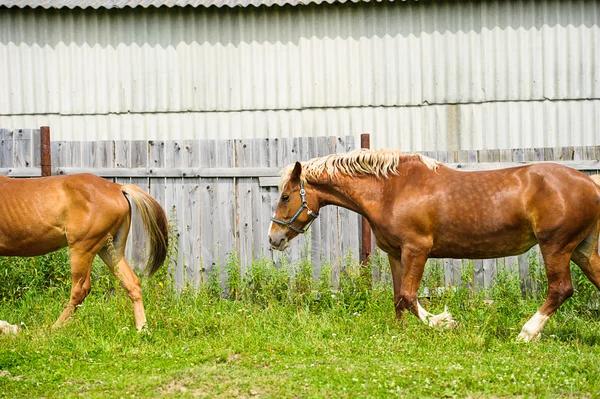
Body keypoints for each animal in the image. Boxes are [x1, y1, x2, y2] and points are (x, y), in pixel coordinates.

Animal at [0, 173, 169, 332]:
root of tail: (117, 187)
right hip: (110, 249)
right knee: (132, 282)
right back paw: (142, 329)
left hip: (82, 249)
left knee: (80, 289)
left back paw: (54, 328)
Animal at [268, 149, 600, 340]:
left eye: (285, 196)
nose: (274, 239)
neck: (391, 189)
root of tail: (590, 183)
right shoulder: (396, 253)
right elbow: (397, 298)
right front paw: (400, 334)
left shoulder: (417, 249)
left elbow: (408, 296)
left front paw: (445, 322)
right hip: (582, 250)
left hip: (556, 246)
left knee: (560, 289)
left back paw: (526, 333)